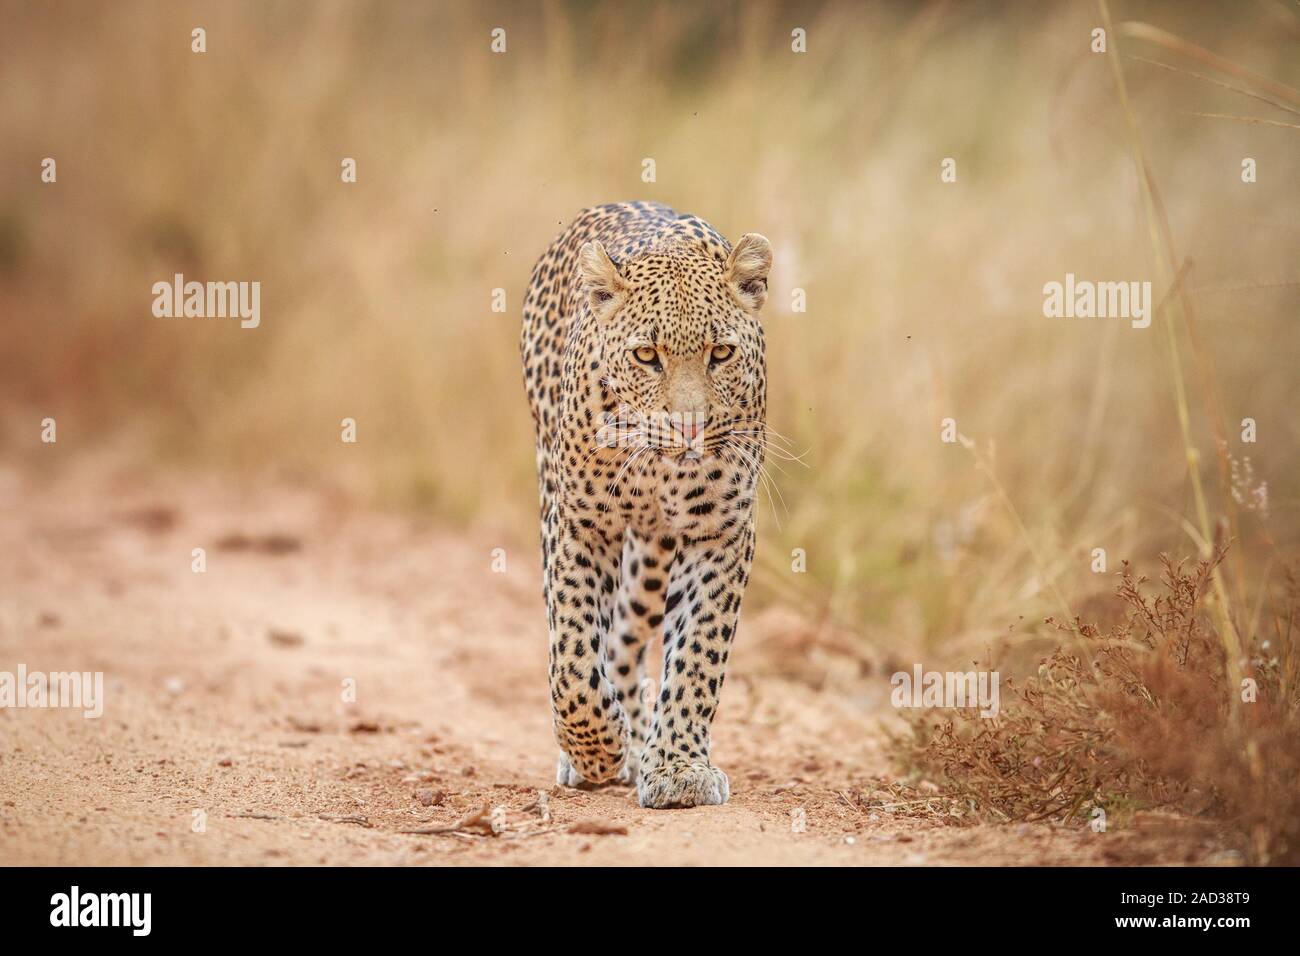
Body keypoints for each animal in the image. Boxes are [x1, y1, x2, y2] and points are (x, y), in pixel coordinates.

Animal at [520, 200, 772, 809]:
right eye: (646, 355)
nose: (689, 427)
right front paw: (596, 748)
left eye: (721, 353)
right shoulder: (581, 527)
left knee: (627, 641)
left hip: (651, 556)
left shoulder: (721, 533)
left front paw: (678, 768)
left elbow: (698, 654)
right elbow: (570, 655)